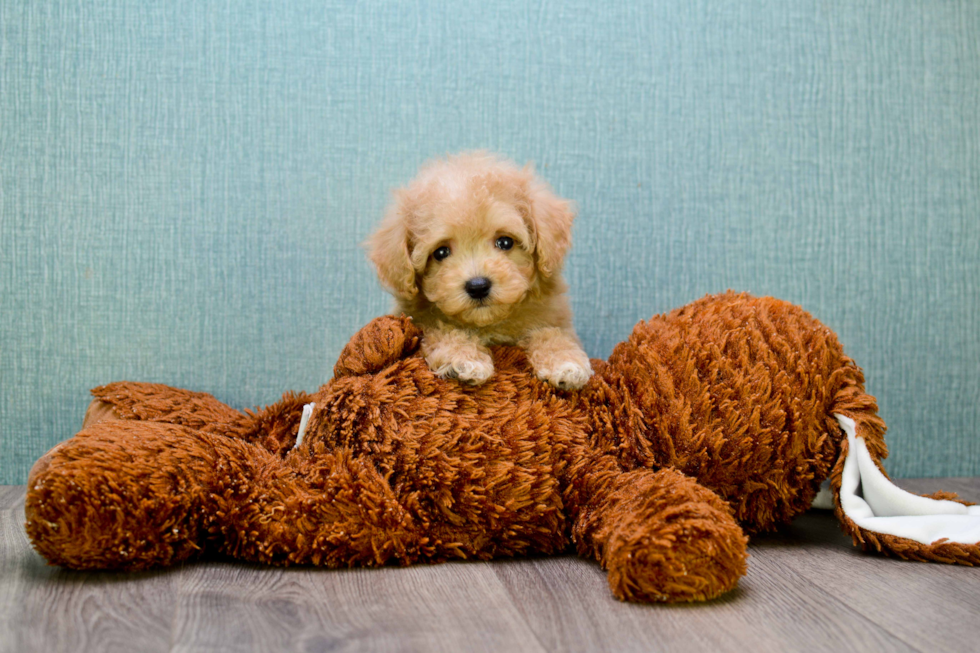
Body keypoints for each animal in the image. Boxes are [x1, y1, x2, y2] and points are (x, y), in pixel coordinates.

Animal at [368, 150, 592, 390]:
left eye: (505, 242)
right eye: (441, 252)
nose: (477, 286)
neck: (488, 323)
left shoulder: (553, 318)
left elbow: (551, 333)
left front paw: (565, 362)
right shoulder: (421, 323)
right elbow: (443, 330)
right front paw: (463, 358)